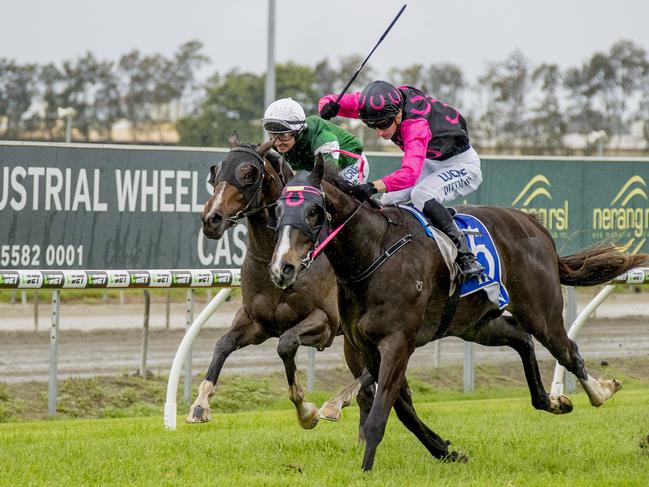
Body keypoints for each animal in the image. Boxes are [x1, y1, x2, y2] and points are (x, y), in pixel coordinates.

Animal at [187, 135, 372, 432]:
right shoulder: (256, 323)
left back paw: (334, 404)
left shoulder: (325, 322)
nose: (211, 219)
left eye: (249, 173)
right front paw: (200, 405)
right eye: (216, 171)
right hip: (353, 342)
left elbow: (285, 344)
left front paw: (306, 411)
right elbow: (222, 345)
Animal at [268, 155, 648, 468]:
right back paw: (552, 401)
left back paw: (600, 392)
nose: (282, 268)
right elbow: (400, 407)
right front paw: (447, 450)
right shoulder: (366, 346)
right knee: (521, 339)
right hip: (475, 324)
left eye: (313, 211)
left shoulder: (397, 342)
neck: (374, 252)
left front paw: (365, 469)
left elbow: (381, 412)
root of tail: (535, 225)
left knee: (567, 350)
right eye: (277, 211)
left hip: (541, 311)